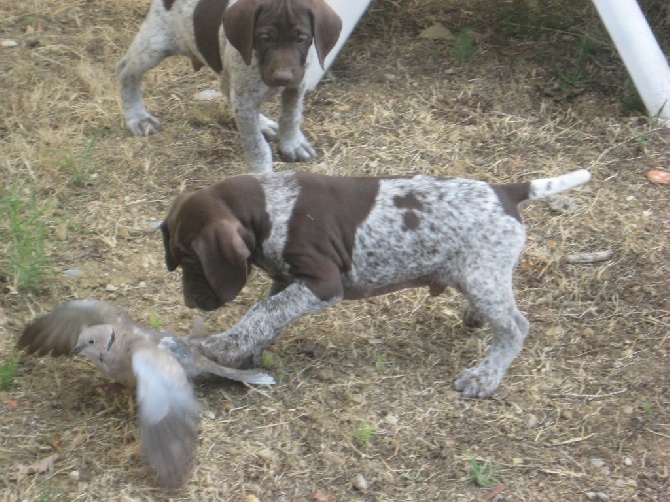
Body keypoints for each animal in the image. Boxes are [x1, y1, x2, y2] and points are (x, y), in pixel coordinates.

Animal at [116, 0, 344, 173]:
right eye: (264, 38)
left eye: (301, 38)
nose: (282, 77)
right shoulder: (246, 101)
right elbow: (257, 146)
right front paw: (262, 174)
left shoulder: (296, 84)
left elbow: (291, 117)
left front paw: (292, 144)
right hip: (155, 46)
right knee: (125, 70)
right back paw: (138, 117)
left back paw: (264, 123)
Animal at [163, 169, 592, 396]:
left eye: (192, 259)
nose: (190, 303)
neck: (273, 208)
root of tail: (504, 191)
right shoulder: (289, 279)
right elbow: (269, 315)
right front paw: (244, 351)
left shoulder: (324, 283)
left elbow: (263, 310)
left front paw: (223, 345)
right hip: (477, 274)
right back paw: (474, 318)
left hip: (482, 275)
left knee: (515, 327)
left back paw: (484, 376)